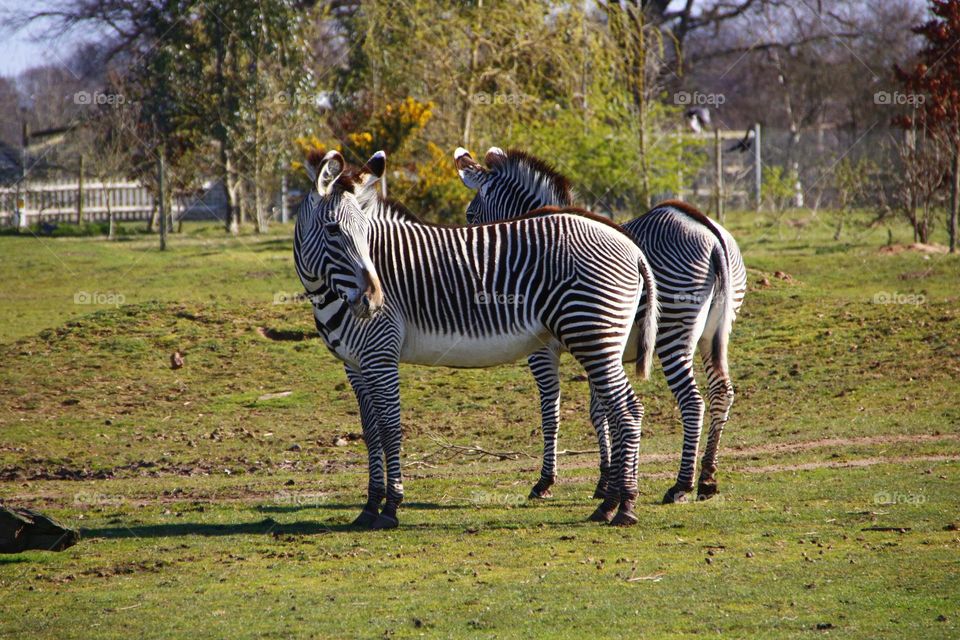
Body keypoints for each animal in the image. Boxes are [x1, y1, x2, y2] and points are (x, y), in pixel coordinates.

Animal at [294, 149, 659, 528]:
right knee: (618, 410)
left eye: (366, 233)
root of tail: (632, 248)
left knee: (627, 411)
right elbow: (371, 431)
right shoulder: (355, 364)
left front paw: (391, 507)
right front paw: (369, 507)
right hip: (599, 340)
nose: (374, 300)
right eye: (333, 230)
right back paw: (610, 504)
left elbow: (390, 427)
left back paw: (624, 506)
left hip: (593, 336)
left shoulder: (380, 355)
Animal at [454, 146, 747, 504]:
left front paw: (546, 481)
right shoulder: (598, 345)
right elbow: (600, 411)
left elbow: (551, 410)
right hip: (715, 332)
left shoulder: (546, 350)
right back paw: (707, 478)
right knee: (722, 392)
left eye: (470, 216)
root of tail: (710, 232)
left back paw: (681, 484)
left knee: (693, 401)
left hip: (672, 331)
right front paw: (608, 479)